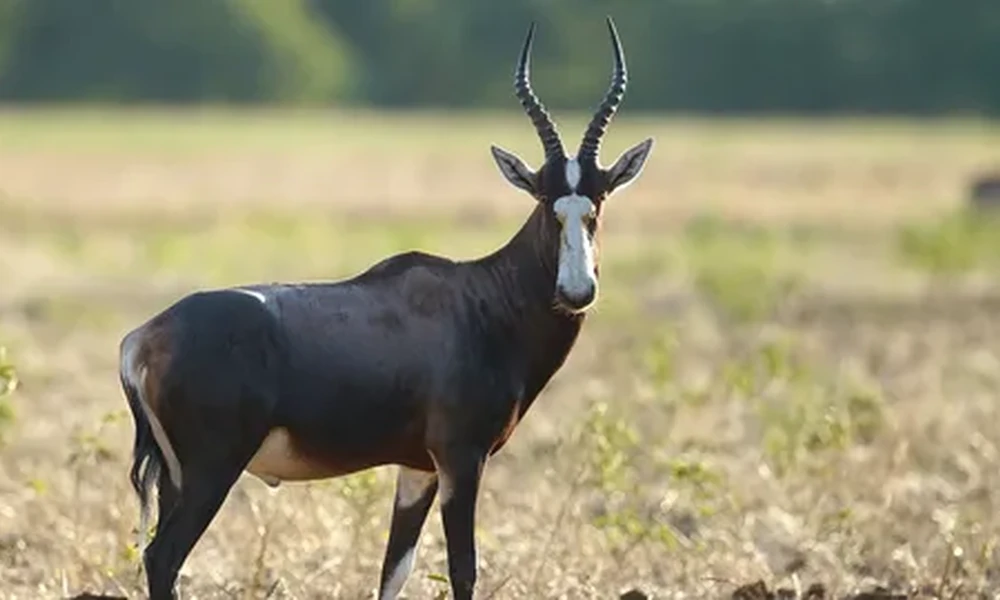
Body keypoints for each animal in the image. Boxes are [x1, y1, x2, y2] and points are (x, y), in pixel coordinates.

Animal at [118, 17, 653, 600]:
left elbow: (394, 571)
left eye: (597, 203)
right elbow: (464, 568)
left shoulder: (417, 469)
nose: (577, 291)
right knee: (162, 558)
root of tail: (142, 340)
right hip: (211, 470)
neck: (479, 301)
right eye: (544, 201)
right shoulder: (460, 459)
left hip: (175, 478)